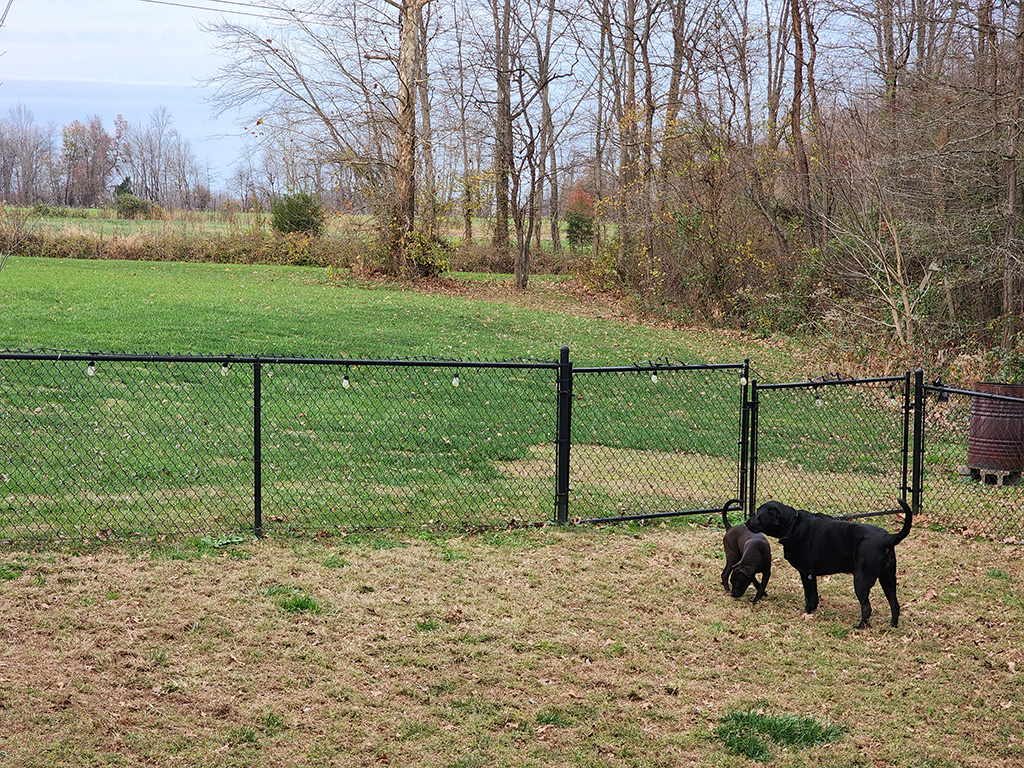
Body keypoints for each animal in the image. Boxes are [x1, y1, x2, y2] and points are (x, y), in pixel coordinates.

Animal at [745, 499, 913, 630]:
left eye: (758, 515)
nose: (746, 523)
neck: (792, 524)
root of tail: (887, 538)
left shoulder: (805, 572)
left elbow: (809, 597)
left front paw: (806, 613)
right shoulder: (811, 575)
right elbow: (814, 597)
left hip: (861, 581)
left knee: (867, 607)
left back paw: (860, 627)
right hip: (888, 579)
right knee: (895, 605)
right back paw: (892, 626)